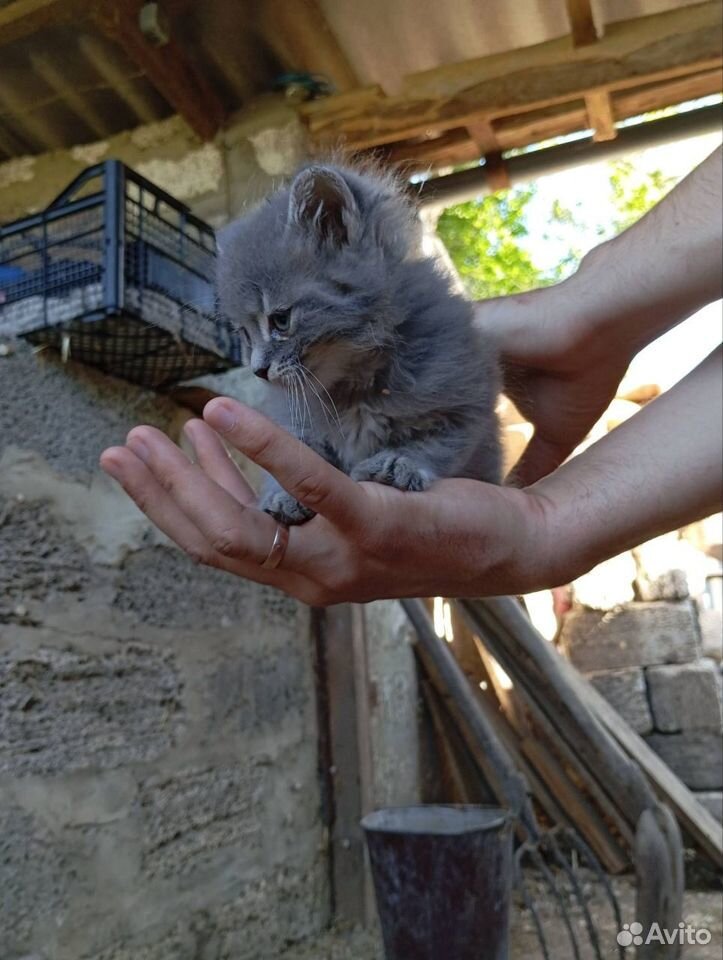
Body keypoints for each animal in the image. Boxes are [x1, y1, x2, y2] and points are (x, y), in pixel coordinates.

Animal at [218, 165, 504, 524]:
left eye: (280, 320)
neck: (353, 385)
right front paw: (283, 493)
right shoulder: (295, 417)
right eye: (244, 334)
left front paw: (396, 463)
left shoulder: (466, 404)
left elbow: (436, 444)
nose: (258, 371)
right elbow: (299, 450)